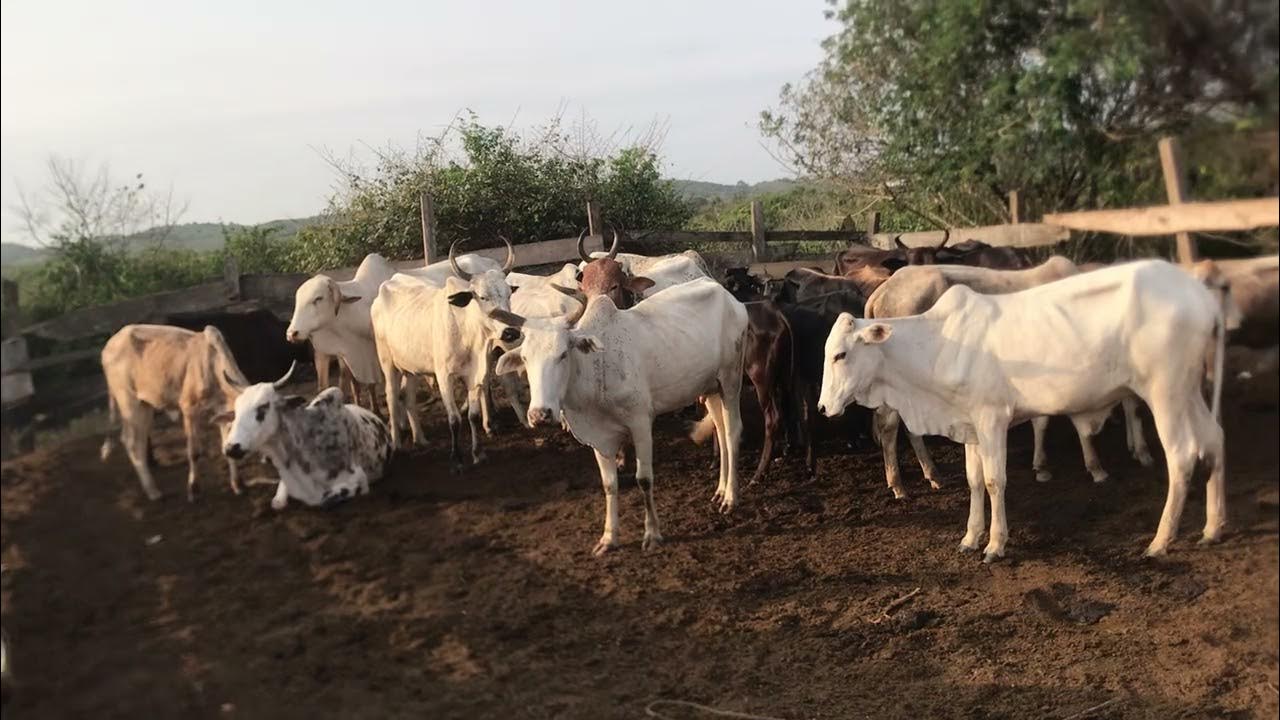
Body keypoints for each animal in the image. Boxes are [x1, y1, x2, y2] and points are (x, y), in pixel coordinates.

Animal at [100, 324, 248, 502]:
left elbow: (226, 447)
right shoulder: (189, 409)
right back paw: (153, 491)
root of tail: (109, 345)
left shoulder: (222, 412)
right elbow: (194, 452)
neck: (213, 365)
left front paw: (238, 485)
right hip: (129, 402)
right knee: (131, 441)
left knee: (138, 441)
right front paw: (193, 490)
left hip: (145, 405)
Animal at [216, 363, 392, 510]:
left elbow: (325, 499)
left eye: (263, 407)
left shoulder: (359, 478)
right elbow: (277, 503)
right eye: (236, 410)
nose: (231, 448)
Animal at [371, 241, 519, 467]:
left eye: (509, 294)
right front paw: (456, 459)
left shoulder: (474, 374)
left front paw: (478, 453)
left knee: (407, 396)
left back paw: (420, 439)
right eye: (482, 297)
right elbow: (454, 419)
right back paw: (396, 444)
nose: (510, 331)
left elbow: (473, 415)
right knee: (392, 397)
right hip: (387, 362)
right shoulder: (444, 377)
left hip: (411, 368)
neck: (466, 332)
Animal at [489, 278, 749, 555]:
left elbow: (644, 479)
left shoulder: (641, 423)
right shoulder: (600, 439)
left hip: (731, 379)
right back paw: (720, 490)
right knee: (720, 430)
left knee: (732, 432)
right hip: (709, 388)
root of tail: (726, 294)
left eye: (563, 354)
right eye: (525, 357)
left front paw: (652, 534)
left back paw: (730, 497)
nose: (540, 414)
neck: (596, 369)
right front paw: (608, 538)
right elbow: (609, 484)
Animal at [819, 259, 1228, 561]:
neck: (940, 346)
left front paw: (995, 544)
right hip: (1187, 390)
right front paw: (970, 537)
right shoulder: (970, 424)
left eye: (841, 354)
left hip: (1165, 392)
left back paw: (1160, 541)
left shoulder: (992, 419)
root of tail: (1199, 294)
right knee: (1214, 439)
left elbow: (994, 480)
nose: (823, 407)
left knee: (1182, 455)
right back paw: (1213, 527)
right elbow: (973, 480)